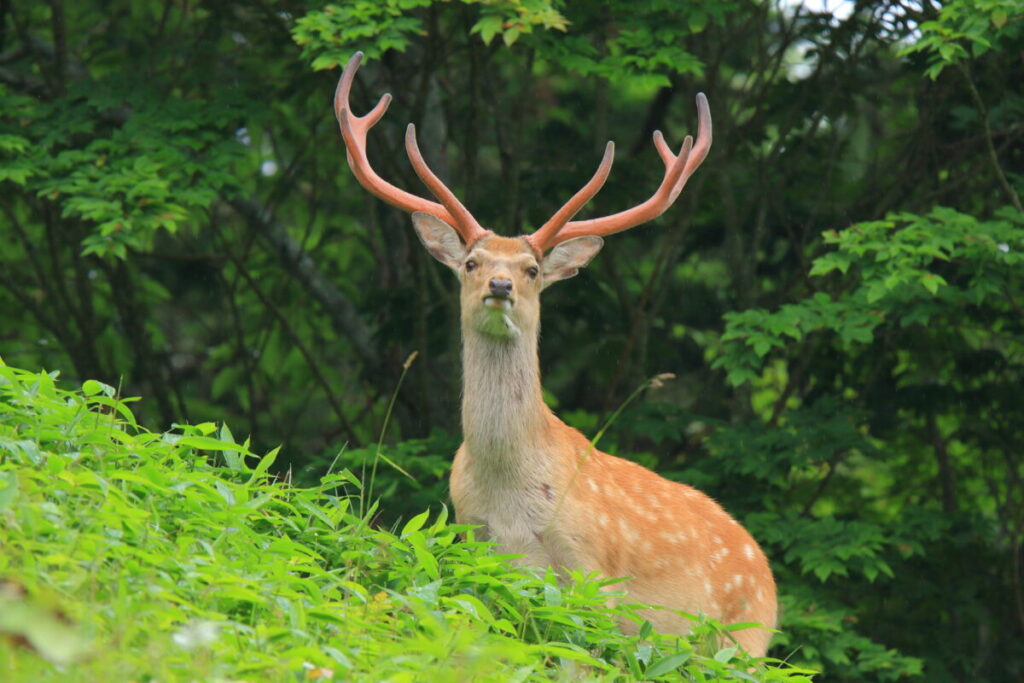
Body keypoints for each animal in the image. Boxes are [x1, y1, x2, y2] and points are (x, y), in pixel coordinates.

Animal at [335, 50, 774, 655]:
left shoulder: (593, 570)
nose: (500, 285)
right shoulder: (477, 544)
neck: (510, 496)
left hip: (744, 640)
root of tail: (771, 579)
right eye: (471, 262)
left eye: (532, 270)